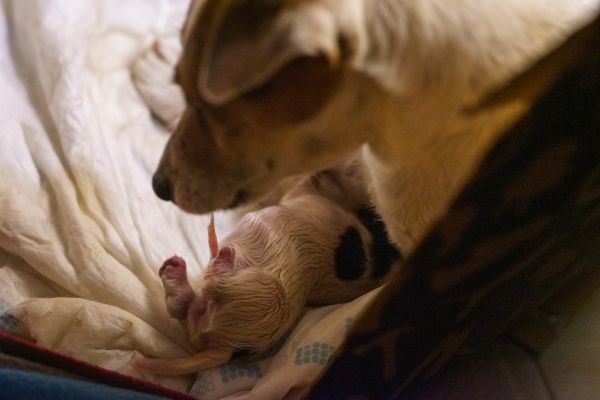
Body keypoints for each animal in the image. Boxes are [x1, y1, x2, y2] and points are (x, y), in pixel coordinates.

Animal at [136, 162, 398, 376]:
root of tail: (229, 349)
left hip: (265, 291)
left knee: (210, 287)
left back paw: (219, 258)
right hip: (212, 315)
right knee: (183, 307)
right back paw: (178, 271)